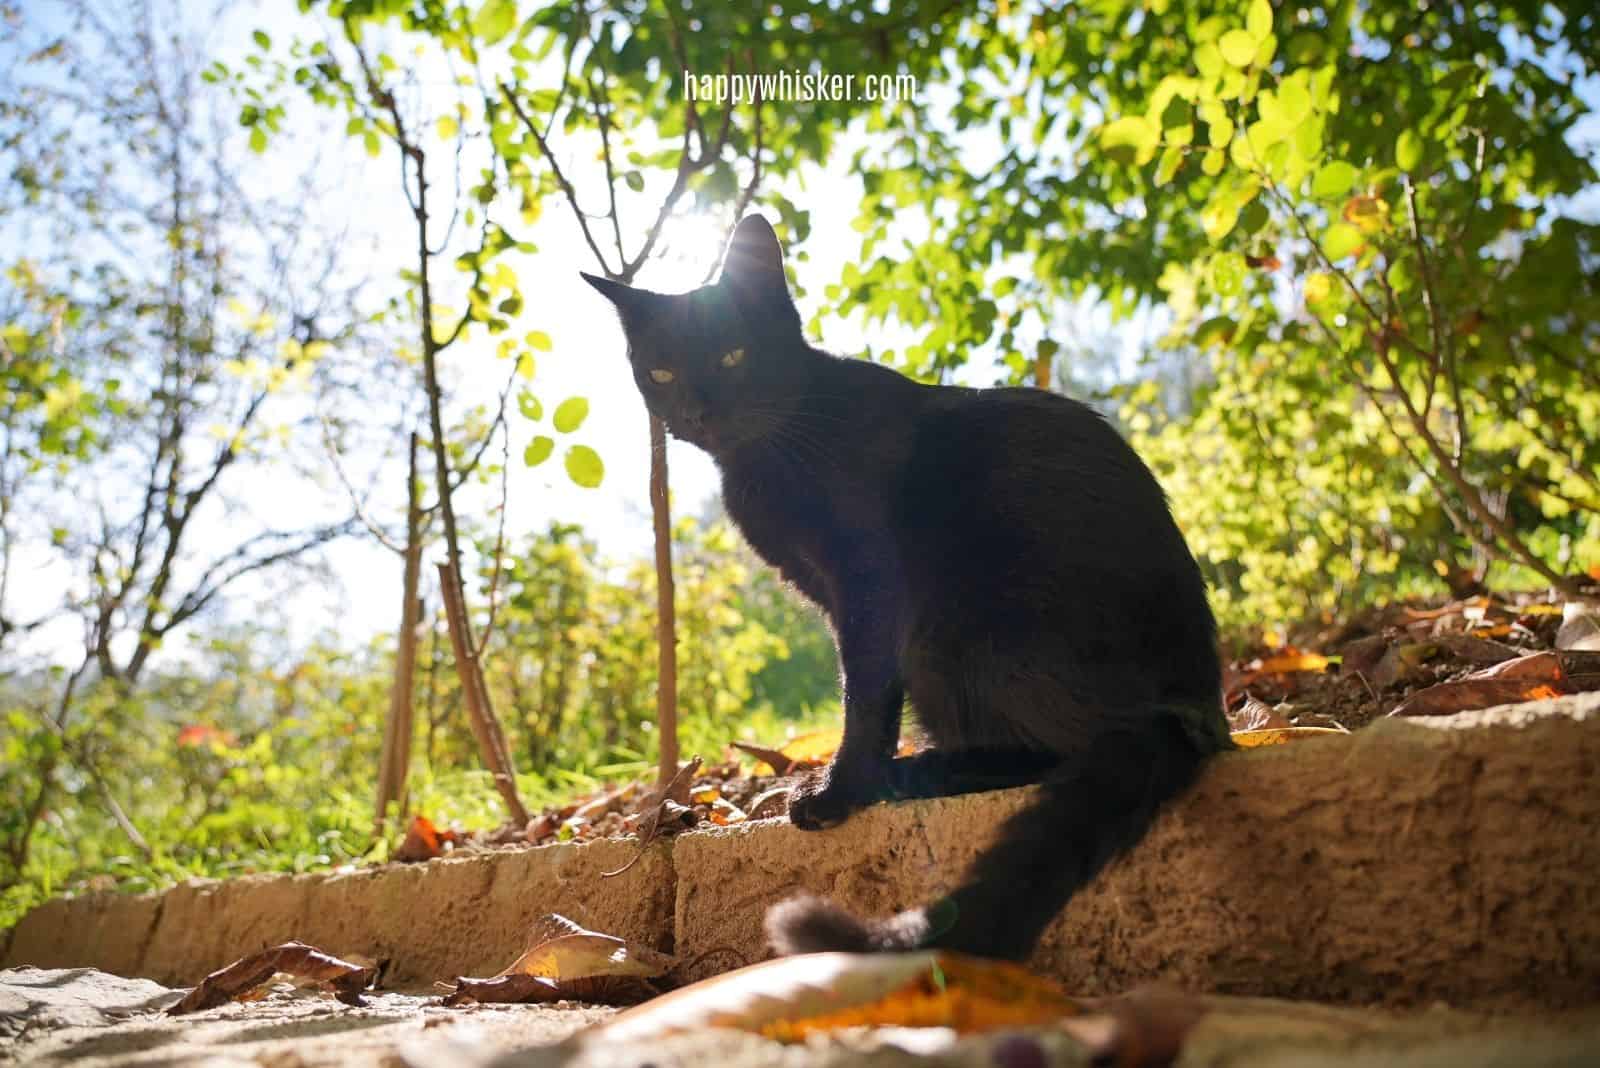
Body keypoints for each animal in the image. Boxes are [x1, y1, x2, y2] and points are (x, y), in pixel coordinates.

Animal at [582, 212, 1228, 952]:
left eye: (733, 356)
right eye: (660, 370)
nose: (697, 411)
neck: (771, 448)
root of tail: (1193, 708)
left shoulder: (869, 585)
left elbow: (862, 696)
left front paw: (841, 793)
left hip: (969, 627)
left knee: (1063, 748)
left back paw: (921, 773)